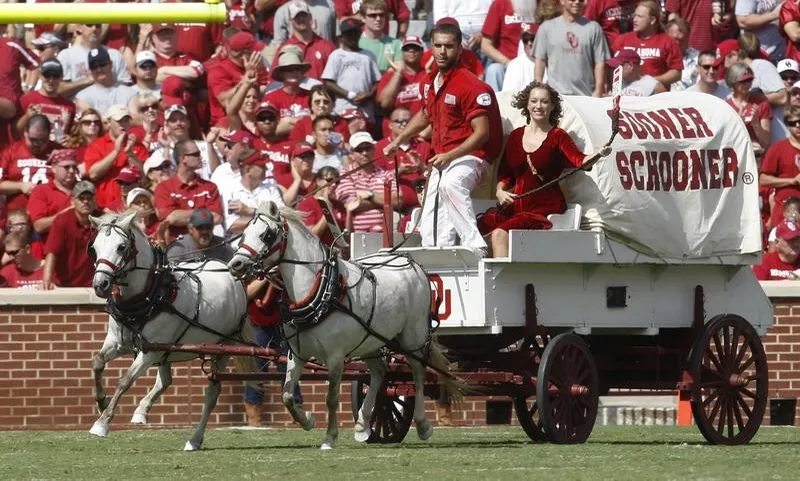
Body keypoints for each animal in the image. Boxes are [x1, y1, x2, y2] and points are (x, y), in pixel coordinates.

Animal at [88, 210, 252, 450]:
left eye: (121, 247)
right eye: (94, 247)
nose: (100, 284)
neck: (151, 293)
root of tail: (232, 277)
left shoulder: (150, 351)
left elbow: (125, 380)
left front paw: (102, 423)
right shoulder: (118, 343)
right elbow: (97, 362)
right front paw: (101, 402)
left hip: (223, 347)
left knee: (212, 394)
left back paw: (195, 439)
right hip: (167, 350)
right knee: (165, 380)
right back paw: (142, 410)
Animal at [228, 201, 460, 448]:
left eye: (266, 234)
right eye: (244, 233)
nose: (235, 264)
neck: (320, 289)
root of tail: (413, 263)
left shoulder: (335, 356)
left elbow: (331, 398)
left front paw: (329, 438)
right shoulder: (297, 354)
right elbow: (287, 395)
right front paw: (308, 420)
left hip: (413, 336)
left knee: (418, 373)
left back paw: (423, 425)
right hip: (371, 339)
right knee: (380, 372)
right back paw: (362, 424)